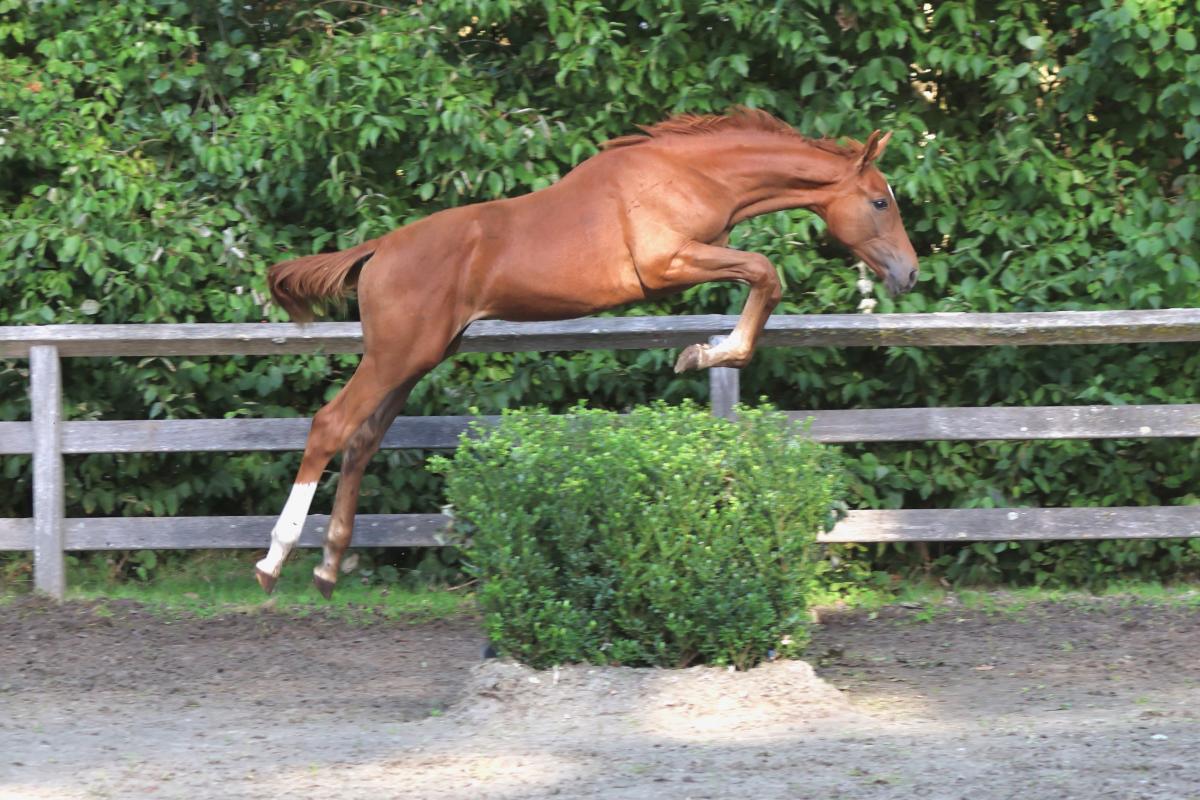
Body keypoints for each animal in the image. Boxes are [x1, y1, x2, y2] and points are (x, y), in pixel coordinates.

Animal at [254, 107, 920, 597]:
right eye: (880, 201)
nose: (909, 273)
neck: (693, 175)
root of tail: (379, 250)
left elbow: (761, 279)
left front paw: (700, 354)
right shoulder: (667, 263)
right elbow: (765, 272)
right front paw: (701, 355)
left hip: (418, 361)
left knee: (362, 442)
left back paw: (329, 567)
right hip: (394, 357)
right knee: (330, 425)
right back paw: (274, 561)